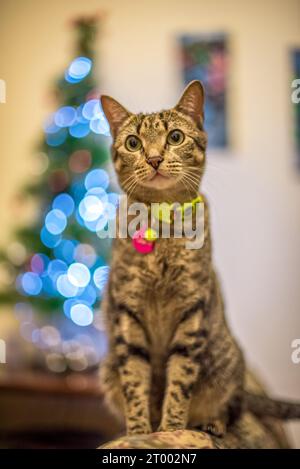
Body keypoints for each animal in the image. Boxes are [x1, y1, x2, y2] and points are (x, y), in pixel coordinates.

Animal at [99, 80, 300, 436]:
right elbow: (135, 384)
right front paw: (140, 433)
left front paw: (170, 430)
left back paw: (211, 424)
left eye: (175, 137)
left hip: (226, 366)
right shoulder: (127, 313)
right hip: (107, 368)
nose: (154, 158)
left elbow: (179, 383)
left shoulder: (191, 312)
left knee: (233, 409)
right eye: (133, 142)